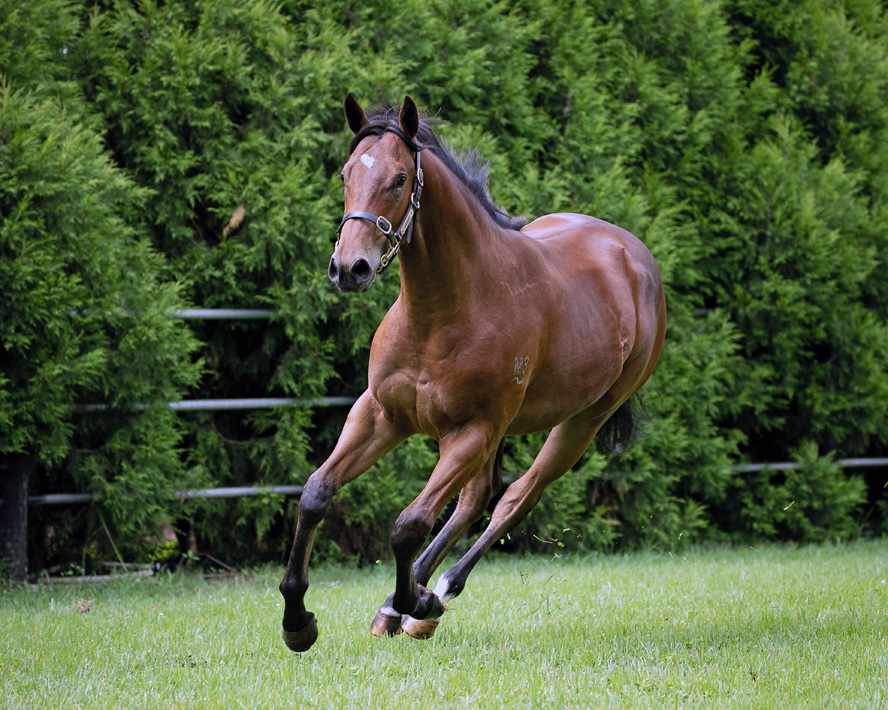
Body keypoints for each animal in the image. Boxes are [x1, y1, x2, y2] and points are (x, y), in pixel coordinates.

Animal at [279, 94, 667, 651]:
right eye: (345, 172)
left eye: (400, 178)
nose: (349, 268)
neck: (442, 311)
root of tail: (635, 254)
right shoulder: (381, 415)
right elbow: (316, 493)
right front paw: (297, 621)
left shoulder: (470, 431)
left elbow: (409, 523)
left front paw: (415, 602)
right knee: (478, 496)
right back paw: (402, 605)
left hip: (580, 422)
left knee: (514, 498)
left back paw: (432, 596)